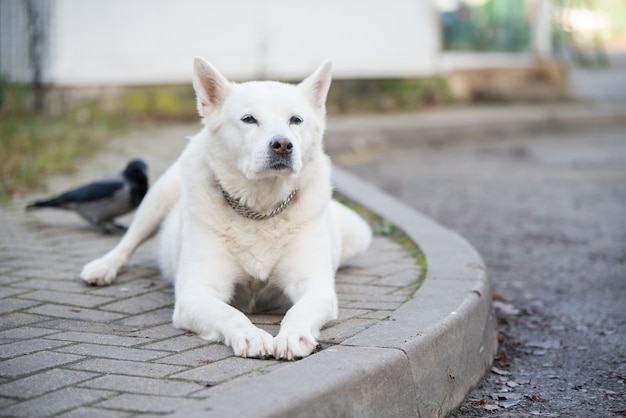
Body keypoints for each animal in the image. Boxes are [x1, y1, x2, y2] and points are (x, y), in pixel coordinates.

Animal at [80, 58, 368, 360]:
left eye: (296, 120)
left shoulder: (315, 285)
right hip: (157, 198)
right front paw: (252, 336)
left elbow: (298, 310)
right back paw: (103, 267)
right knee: (128, 242)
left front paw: (292, 336)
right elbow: (231, 314)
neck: (261, 207)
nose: (282, 145)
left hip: (359, 236)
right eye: (249, 119)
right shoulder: (195, 292)